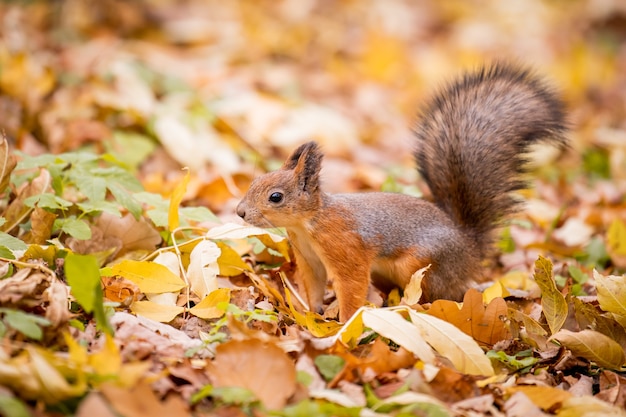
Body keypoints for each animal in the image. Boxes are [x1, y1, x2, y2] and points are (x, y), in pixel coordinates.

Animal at [234, 63, 564, 322]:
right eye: (255, 181)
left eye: (276, 197)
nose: (240, 212)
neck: (309, 223)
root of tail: (469, 249)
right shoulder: (309, 259)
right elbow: (313, 285)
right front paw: (308, 312)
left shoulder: (346, 248)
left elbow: (352, 285)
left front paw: (344, 323)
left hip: (422, 264)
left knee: (440, 294)